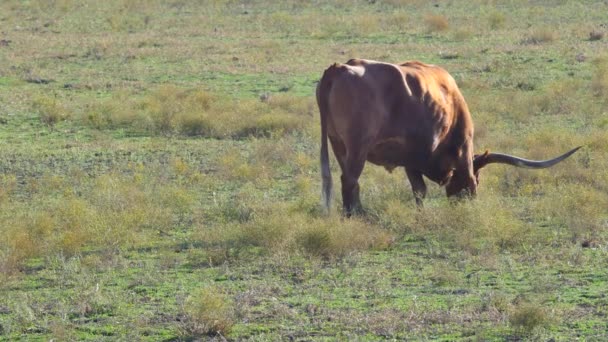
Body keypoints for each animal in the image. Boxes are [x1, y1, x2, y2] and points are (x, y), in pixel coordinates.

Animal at [316, 58, 580, 214]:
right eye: (478, 179)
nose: (464, 206)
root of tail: (338, 68)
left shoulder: (410, 158)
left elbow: (418, 190)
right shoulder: (461, 150)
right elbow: (433, 186)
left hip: (339, 146)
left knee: (349, 181)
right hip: (357, 148)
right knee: (349, 181)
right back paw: (354, 215)